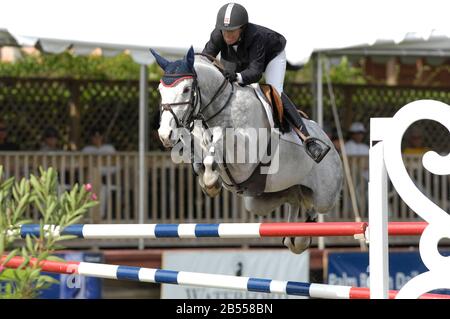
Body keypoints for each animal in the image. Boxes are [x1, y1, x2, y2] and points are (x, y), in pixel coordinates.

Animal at [149, 47, 342, 255]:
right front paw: (207, 178)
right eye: (160, 90)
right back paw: (294, 237)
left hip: (325, 196)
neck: (218, 108)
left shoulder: (245, 158)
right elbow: (196, 148)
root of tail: (331, 145)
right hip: (262, 200)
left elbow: (220, 138)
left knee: (313, 207)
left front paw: (211, 181)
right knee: (295, 199)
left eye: (185, 89)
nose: (165, 135)